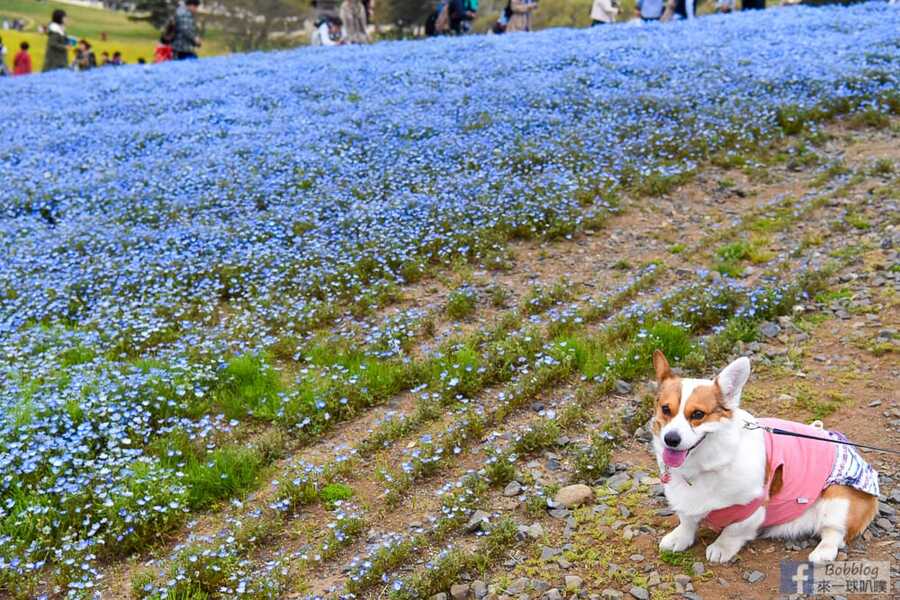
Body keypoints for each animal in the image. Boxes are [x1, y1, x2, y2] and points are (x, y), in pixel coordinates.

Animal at [648, 350, 880, 564]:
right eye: (665, 409)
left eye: (698, 414)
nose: (671, 439)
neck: (703, 465)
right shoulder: (686, 505)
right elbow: (687, 521)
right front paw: (679, 538)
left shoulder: (753, 510)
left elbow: (733, 531)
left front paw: (721, 548)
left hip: (838, 498)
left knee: (834, 533)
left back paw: (822, 553)